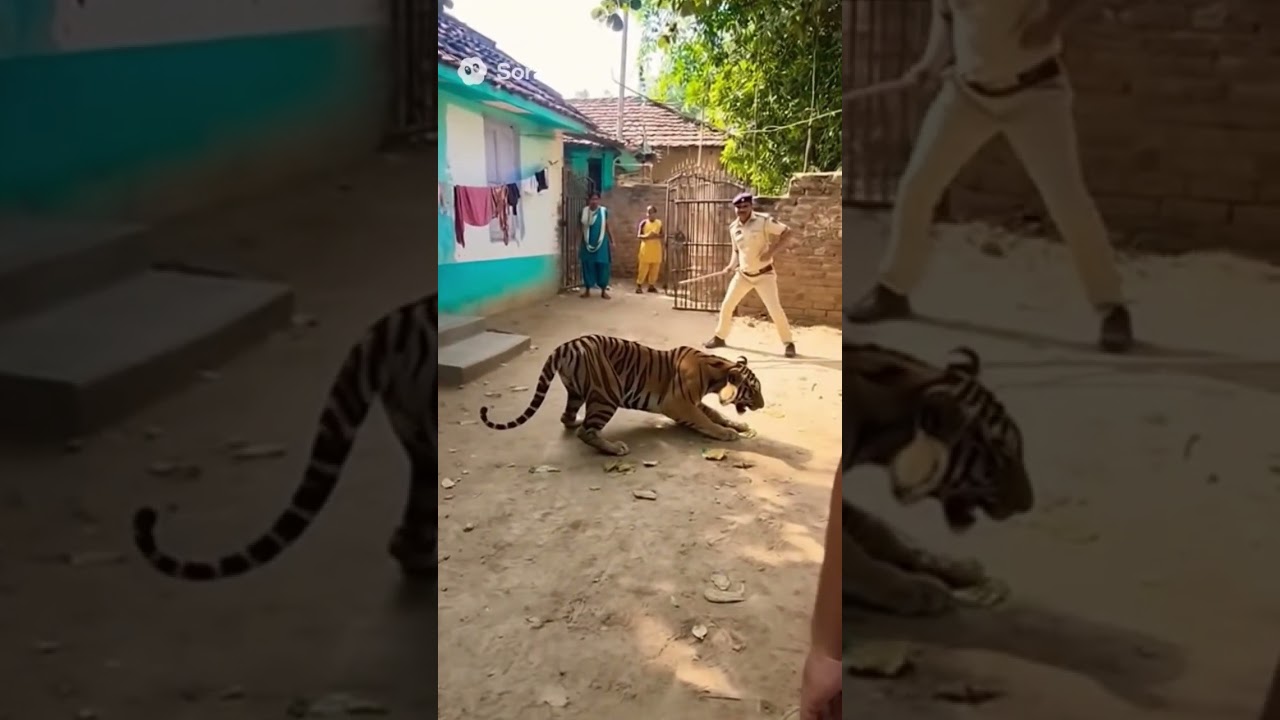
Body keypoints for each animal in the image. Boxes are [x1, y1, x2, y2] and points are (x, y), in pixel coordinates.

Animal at [481, 334, 764, 456]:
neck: (716, 372)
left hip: (577, 392)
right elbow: (706, 421)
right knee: (586, 431)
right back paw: (615, 448)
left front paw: (737, 425)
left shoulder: (692, 402)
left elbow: (714, 413)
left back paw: (578, 421)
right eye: (754, 389)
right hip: (608, 393)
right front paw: (726, 434)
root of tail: (566, 345)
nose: (761, 405)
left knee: (568, 418)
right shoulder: (678, 402)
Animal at [844, 340, 1034, 616]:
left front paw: (959, 567)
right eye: (1002, 456)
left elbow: (880, 530)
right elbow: (857, 559)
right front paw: (922, 590)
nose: (1028, 505)